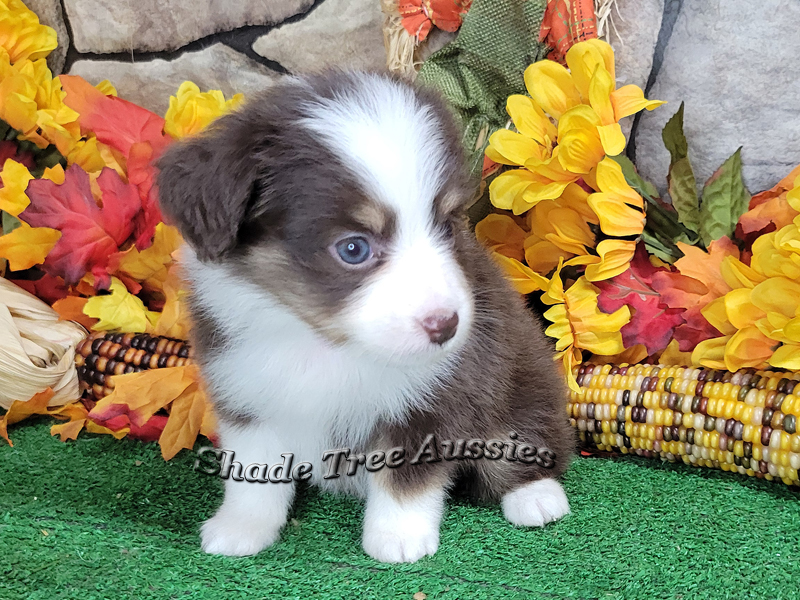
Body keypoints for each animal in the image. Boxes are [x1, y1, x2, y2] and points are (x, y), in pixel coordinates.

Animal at [156, 70, 572, 564]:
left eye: (447, 225)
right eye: (353, 248)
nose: (447, 326)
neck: (323, 342)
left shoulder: (434, 395)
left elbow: (406, 476)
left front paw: (399, 537)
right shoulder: (245, 387)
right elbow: (253, 472)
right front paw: (242, 526)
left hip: (521, 383)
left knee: (524, 442)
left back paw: (536, 497)